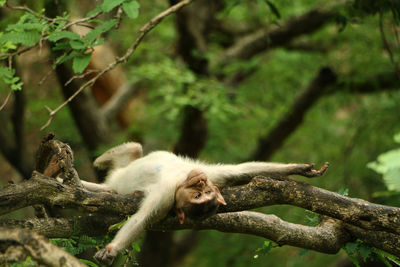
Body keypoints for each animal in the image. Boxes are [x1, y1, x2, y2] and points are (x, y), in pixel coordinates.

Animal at [78, 142, 328, 266]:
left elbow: (142, 219)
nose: (199, 180)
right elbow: (241, 170)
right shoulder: (209, 176)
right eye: (201, 193)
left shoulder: (165, 197)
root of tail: (112, 181)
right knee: (133, 148)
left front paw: (112, 250)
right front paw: (300, 168)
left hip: (117, 179)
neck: (180, 179)